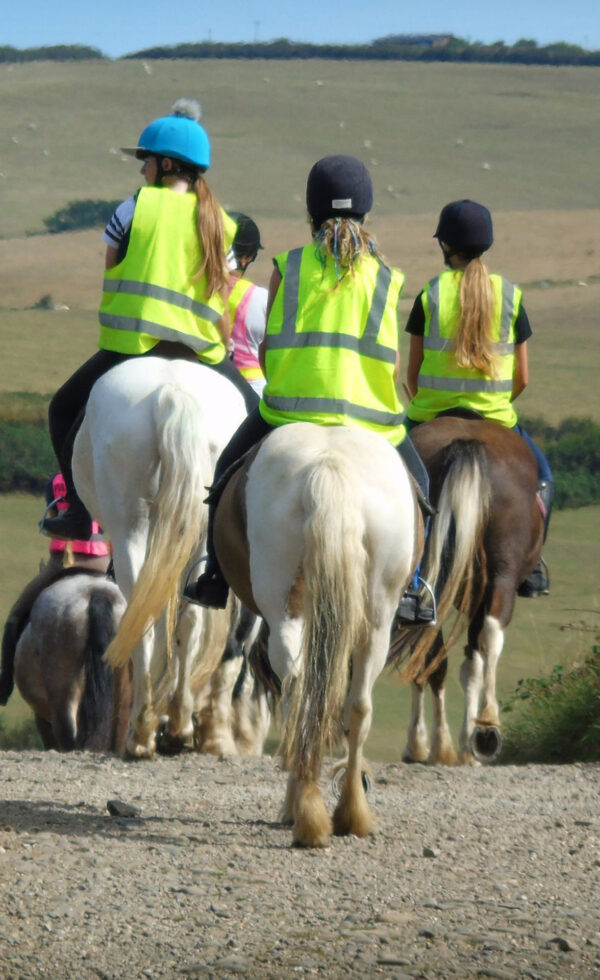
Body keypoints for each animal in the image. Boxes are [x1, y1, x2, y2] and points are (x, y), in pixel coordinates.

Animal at [72, 356, 247, 759]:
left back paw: (140, 732)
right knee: (191, 615)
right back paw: (178, 724)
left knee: (143, 615)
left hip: (130, 528)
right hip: (200, 527)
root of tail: (172, 392)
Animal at [210, 422, 424, 847]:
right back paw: (349, 814)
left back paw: (303, 811)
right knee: (356, 705)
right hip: (377, 616)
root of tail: (329, 464)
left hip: (286, 609)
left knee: (298, 694)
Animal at [390, 416, 544, 765]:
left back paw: (447, 739)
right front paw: (461, 743)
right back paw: (483, 729)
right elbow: (470, 662)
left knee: (435, 652)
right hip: (499, 575)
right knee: (488, 637)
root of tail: (467, 444)